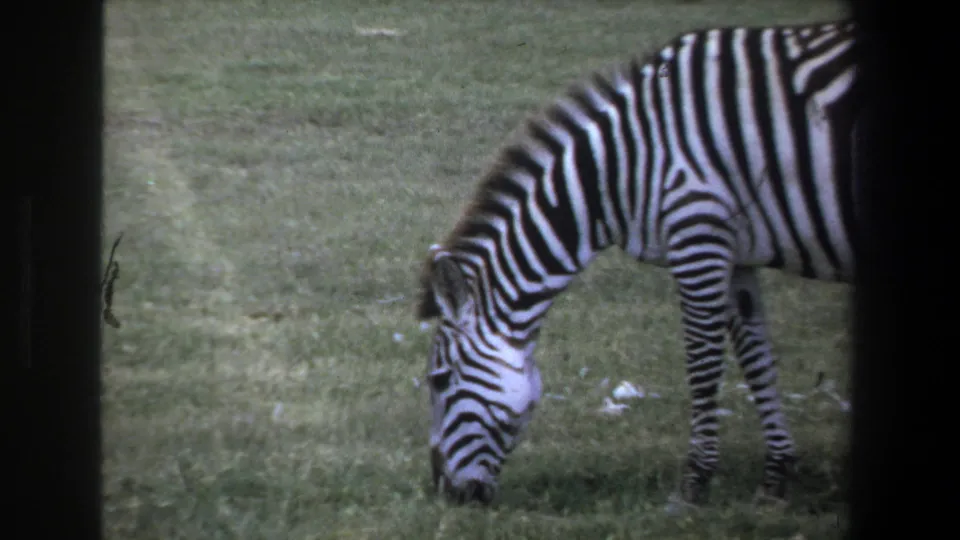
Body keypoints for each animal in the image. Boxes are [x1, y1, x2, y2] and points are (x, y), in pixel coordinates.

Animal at [416, 19, 861, 506]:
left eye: (440, 380)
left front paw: (695, 482)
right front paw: (777, 475)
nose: (446, 494)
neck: (622, 166)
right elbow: (757, 359)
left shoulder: (697, 233)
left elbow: (703, 364)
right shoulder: (736, 251)